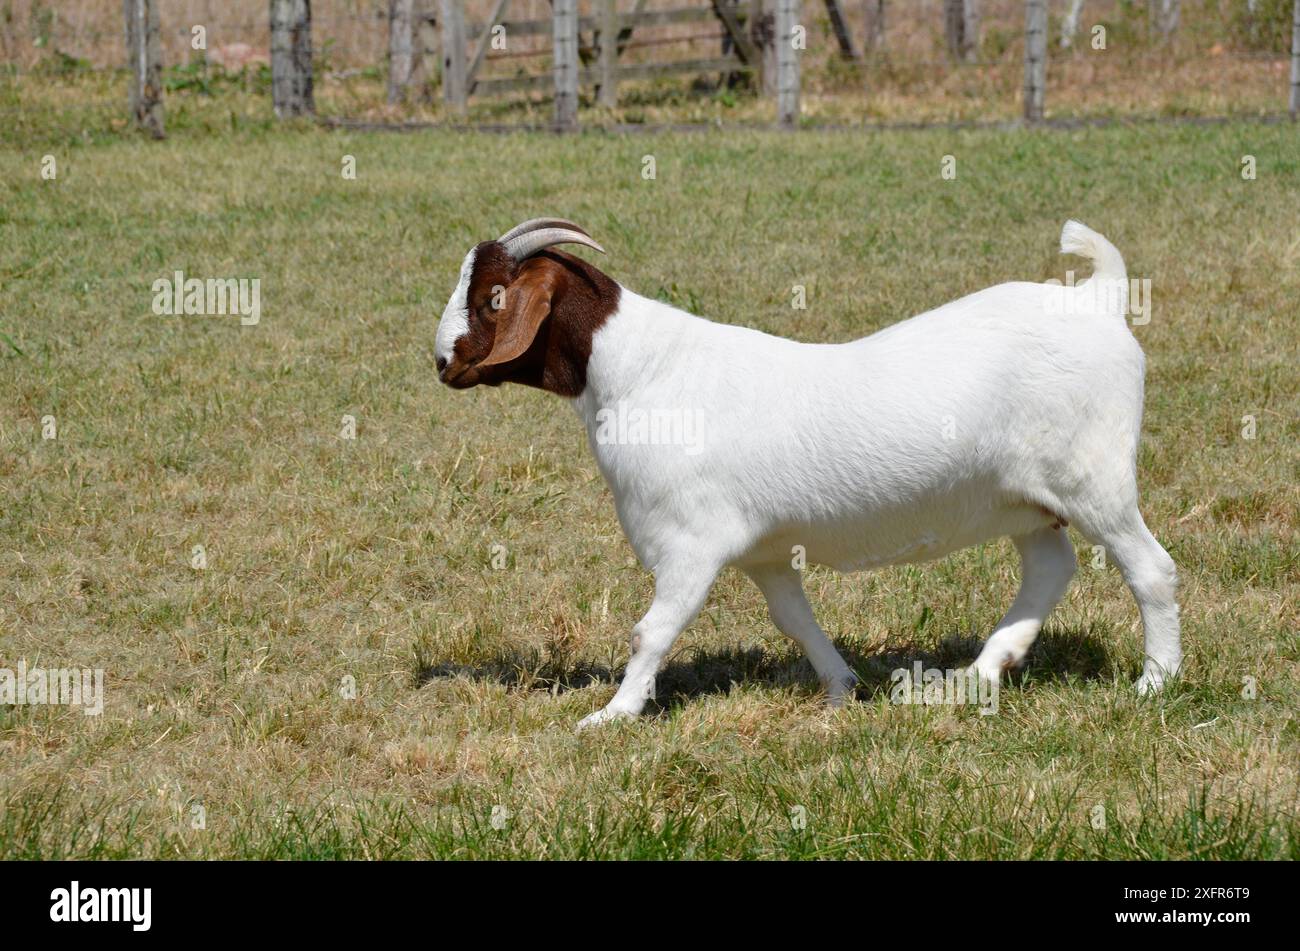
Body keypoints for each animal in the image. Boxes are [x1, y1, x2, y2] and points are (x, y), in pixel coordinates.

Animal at [435, 218, 1181, 727]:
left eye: (495, 297)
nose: (442, 362)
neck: (643, 370)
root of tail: (1099, 300)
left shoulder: (689, 542)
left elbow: (653, 628)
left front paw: (611, 715)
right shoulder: (763, 551)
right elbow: (794, 618)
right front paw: (842, 687)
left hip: (1096, 480)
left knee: (1151, 568)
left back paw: (1155, 682)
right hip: (1024, 500)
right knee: (1050, 568)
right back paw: (974, 676)